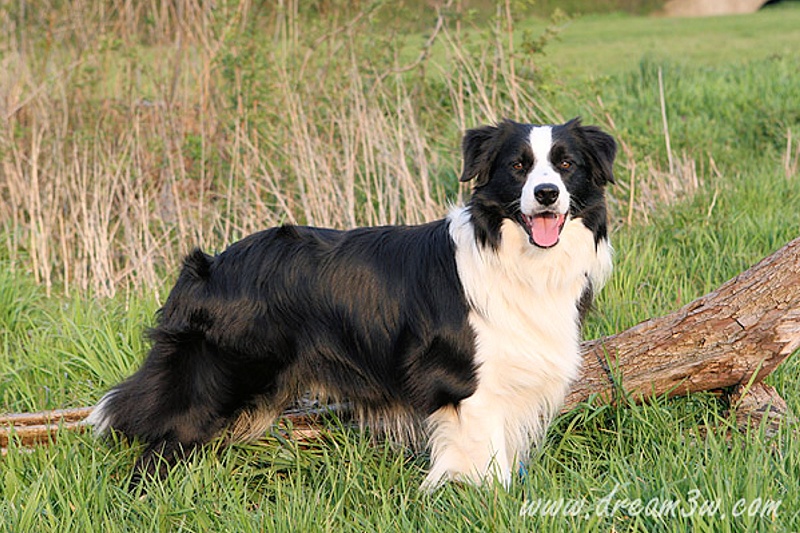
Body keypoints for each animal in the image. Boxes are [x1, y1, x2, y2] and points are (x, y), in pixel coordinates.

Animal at [88, 118, 616, 489]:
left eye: (567, 165)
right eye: (517, 167)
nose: (546, 194)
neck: (516, 256)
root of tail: (208, 265)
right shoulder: (468, 385)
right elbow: (484, 468)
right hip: (212, 380)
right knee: (158, 445)